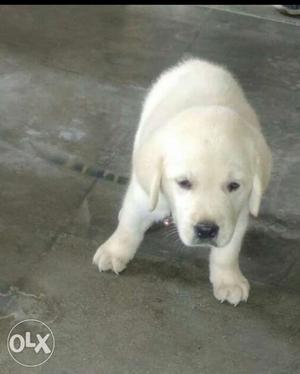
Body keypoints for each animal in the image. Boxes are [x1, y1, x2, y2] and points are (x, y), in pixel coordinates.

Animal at [93, 57, 272, 304]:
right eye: (184, 183)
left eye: (234, 186)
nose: (206, 230)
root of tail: (198, 62)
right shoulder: (144, 195)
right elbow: (129, 225)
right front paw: (114, 252)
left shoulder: (239, 213)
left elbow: (228, 251)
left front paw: (229, 280)